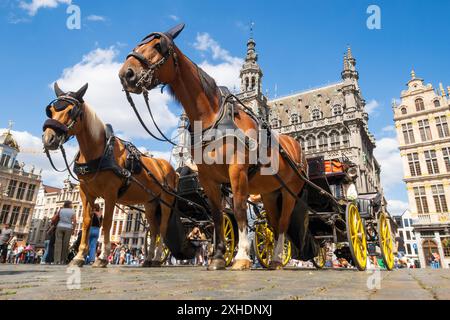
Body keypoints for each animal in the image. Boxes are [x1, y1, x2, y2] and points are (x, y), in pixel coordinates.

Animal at [42, 82, 178, 268]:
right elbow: (86, 222)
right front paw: (79, 257)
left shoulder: (110, 194)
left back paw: (157, 258)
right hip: (151, 203)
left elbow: (106, 222)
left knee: (163, 227)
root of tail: (172, 170)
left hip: (166, 202)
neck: (99, 151)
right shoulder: (86, 193)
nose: (48, 139)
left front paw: (102, 257)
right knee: (154, 229)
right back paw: (148, 259)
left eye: (71, 111)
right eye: (51, 110)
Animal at [118, 23, 316, 272]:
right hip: (271, 192)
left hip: (290, 191)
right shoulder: (208, 178)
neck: (212, 117)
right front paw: (219, 257)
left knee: (282, 223)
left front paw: (241, 257)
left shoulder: (237, 172)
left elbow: (239, 211)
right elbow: (217, 216)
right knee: (272, 222)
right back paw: (272, 258)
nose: (125, 74)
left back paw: (277, 259)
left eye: (158, 46)